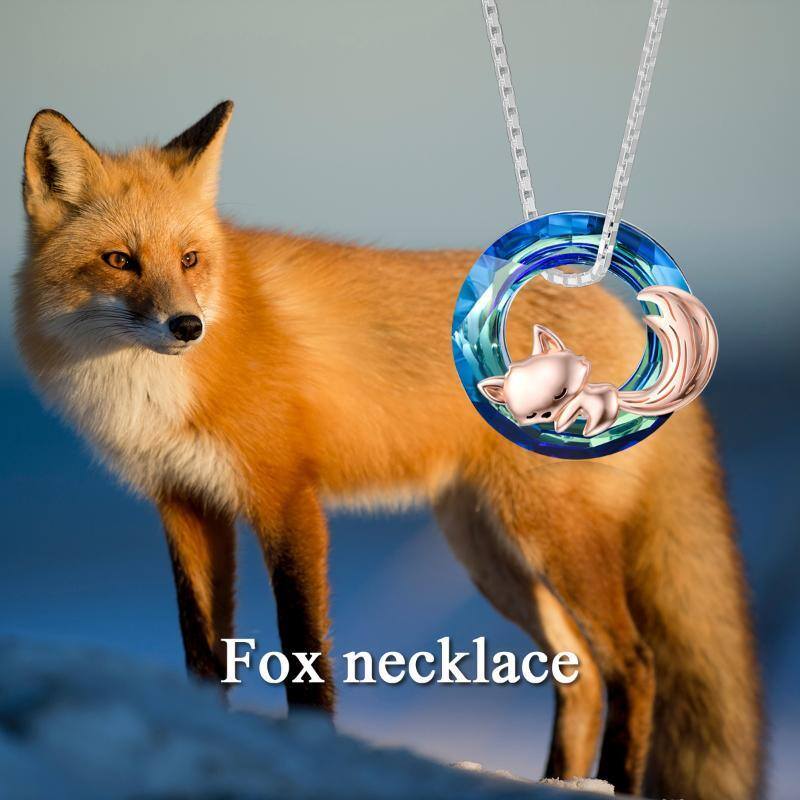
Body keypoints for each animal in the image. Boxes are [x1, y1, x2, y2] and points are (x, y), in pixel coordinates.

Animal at [15, 101, 762, 800]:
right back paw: (558, 781)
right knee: (579, 675)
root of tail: (633, 318)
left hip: (551, 539)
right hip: (489, 552)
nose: (187, 326)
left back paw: (615, 783)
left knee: (635, 664)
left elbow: (303, 650)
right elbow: (204, 652)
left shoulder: (287, 497)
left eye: (190, 259)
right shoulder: (186, 505)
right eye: (120, 260)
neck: (155, 391)